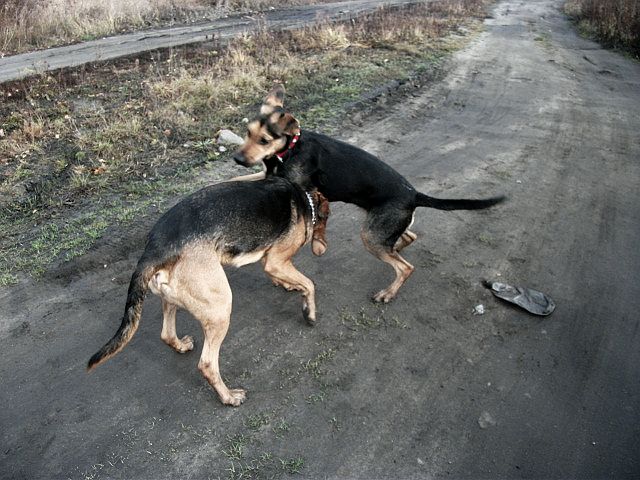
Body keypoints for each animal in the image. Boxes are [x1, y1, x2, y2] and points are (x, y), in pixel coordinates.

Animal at [87, 178, 322, 406]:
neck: (304, 199)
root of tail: (154, 250)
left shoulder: (274, 263)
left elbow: (294, 280)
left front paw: (289, 287)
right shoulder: (275, 262)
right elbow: (309, 284)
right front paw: (309, 312)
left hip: (172, 298)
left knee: (167, 334)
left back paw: (181, 345)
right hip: (220, 308)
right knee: (207, 364)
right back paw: (229, 397)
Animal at [232, 85, 502, 302]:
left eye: (264, 140)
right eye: (247, 133)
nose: (237, 158)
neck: (290, 147)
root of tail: (414, 194)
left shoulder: (299, 189)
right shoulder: (268, 175)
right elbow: (238, 178)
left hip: (371, 234)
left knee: (406, 267)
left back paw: (388, 293)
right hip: (381, 228)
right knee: (407, 238)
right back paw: (396, 249)